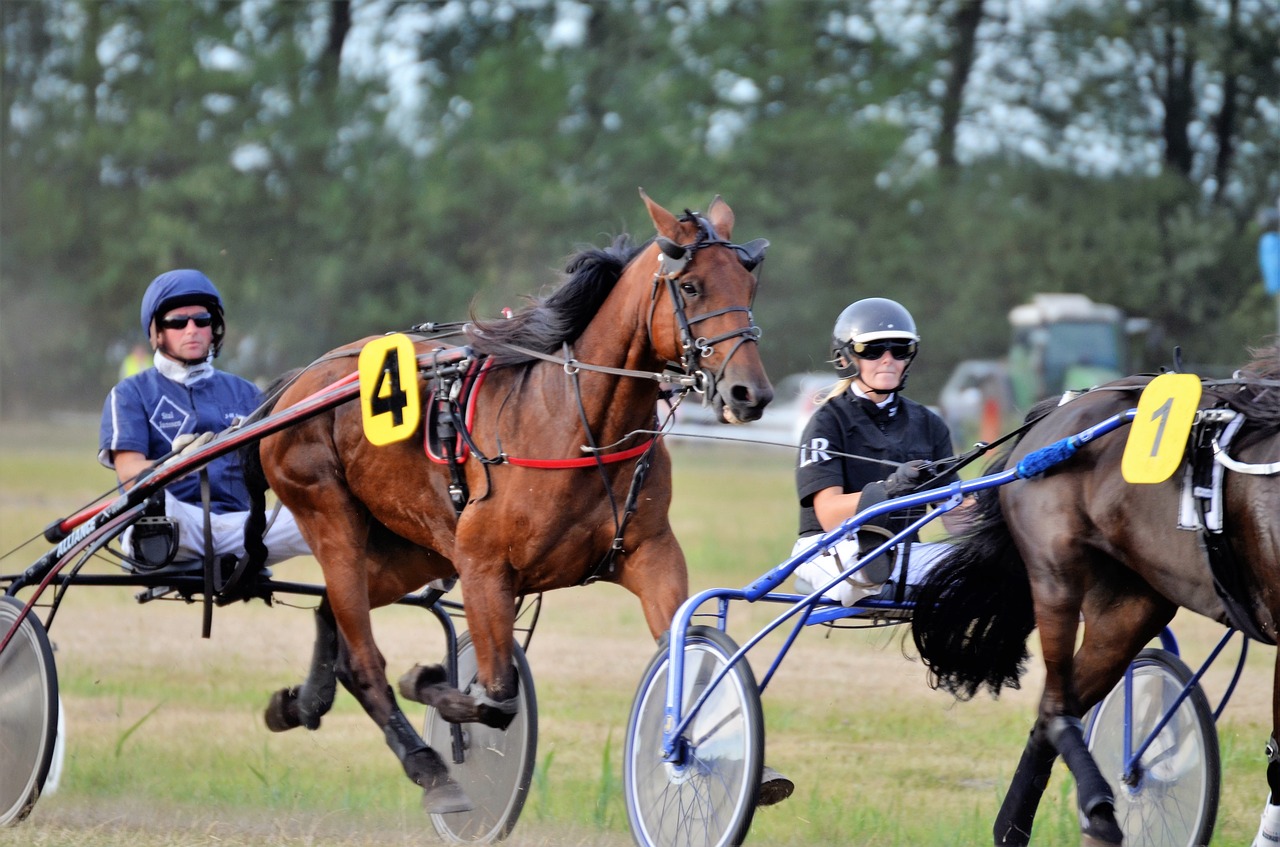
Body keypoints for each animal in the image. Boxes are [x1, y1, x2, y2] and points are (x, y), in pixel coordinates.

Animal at [249, 191, 768, 818]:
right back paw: (429, 767)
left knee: (336, 614)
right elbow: (497, 698)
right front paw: (428, 681)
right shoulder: (484, 567)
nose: (749, 392)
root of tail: (302, 382)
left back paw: (300, 703)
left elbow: (682, 652)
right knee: (364, 655)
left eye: (749, 284)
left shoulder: (651, 552)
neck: (577, 425)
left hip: (415, 548)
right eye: (690, 286)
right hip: (332, 517)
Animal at [911, 345, 1280, 847]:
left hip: (1131, 603)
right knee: (1056, 709)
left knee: (1052, 712)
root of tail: (1059, 412)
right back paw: (1098, 810)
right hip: (1056, 576)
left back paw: (1018, 828)